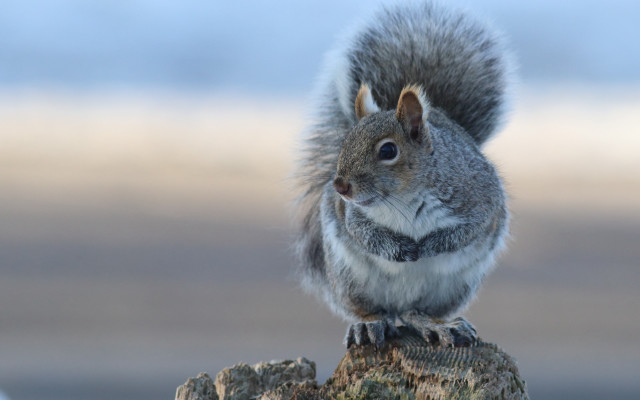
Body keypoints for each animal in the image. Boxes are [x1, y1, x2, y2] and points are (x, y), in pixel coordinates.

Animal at [295, 1, 513, 348]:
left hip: (452, 288)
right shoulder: (352, 213)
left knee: (414, 313)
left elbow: (469, 230)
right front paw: (398, 249)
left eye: (388, 151)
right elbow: (362, 232)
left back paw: (439, 325)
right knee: (375, 310)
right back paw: (369, 324)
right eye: (346, 140)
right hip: (349, 278)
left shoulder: (479, 199)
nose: (340, 186)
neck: (403, 198)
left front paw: (429, 246)